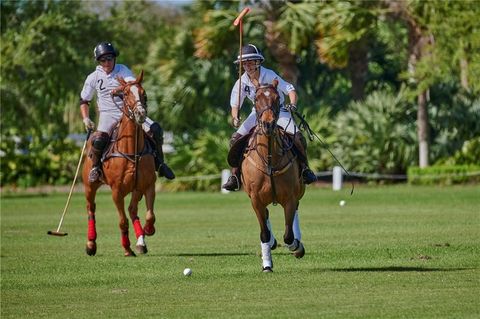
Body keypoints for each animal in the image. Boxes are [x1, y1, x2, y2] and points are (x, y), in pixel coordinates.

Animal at [81, 70, 157, 258]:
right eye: (126, 94)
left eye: (144, 93)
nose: (140, 114)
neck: (132, 151)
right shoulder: (116, 191)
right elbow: (122, 222)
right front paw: (127, 249)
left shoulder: (148, 185)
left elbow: (150, 215)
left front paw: (148, 230)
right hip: (89, 186)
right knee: (91, 209)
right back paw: (91, 244)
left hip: (136, 189)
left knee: (132, 210)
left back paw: (141, 242)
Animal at [242, 80, 306, 272]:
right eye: (256, 99)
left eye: (277, 98)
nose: (268, 123)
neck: (269, 159)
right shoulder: (255, 200)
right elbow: (264, 233)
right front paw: (267, 265)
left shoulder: (290, 197)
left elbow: (288, 235)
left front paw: (297, 247)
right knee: (267, 216)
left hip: (299, 192)